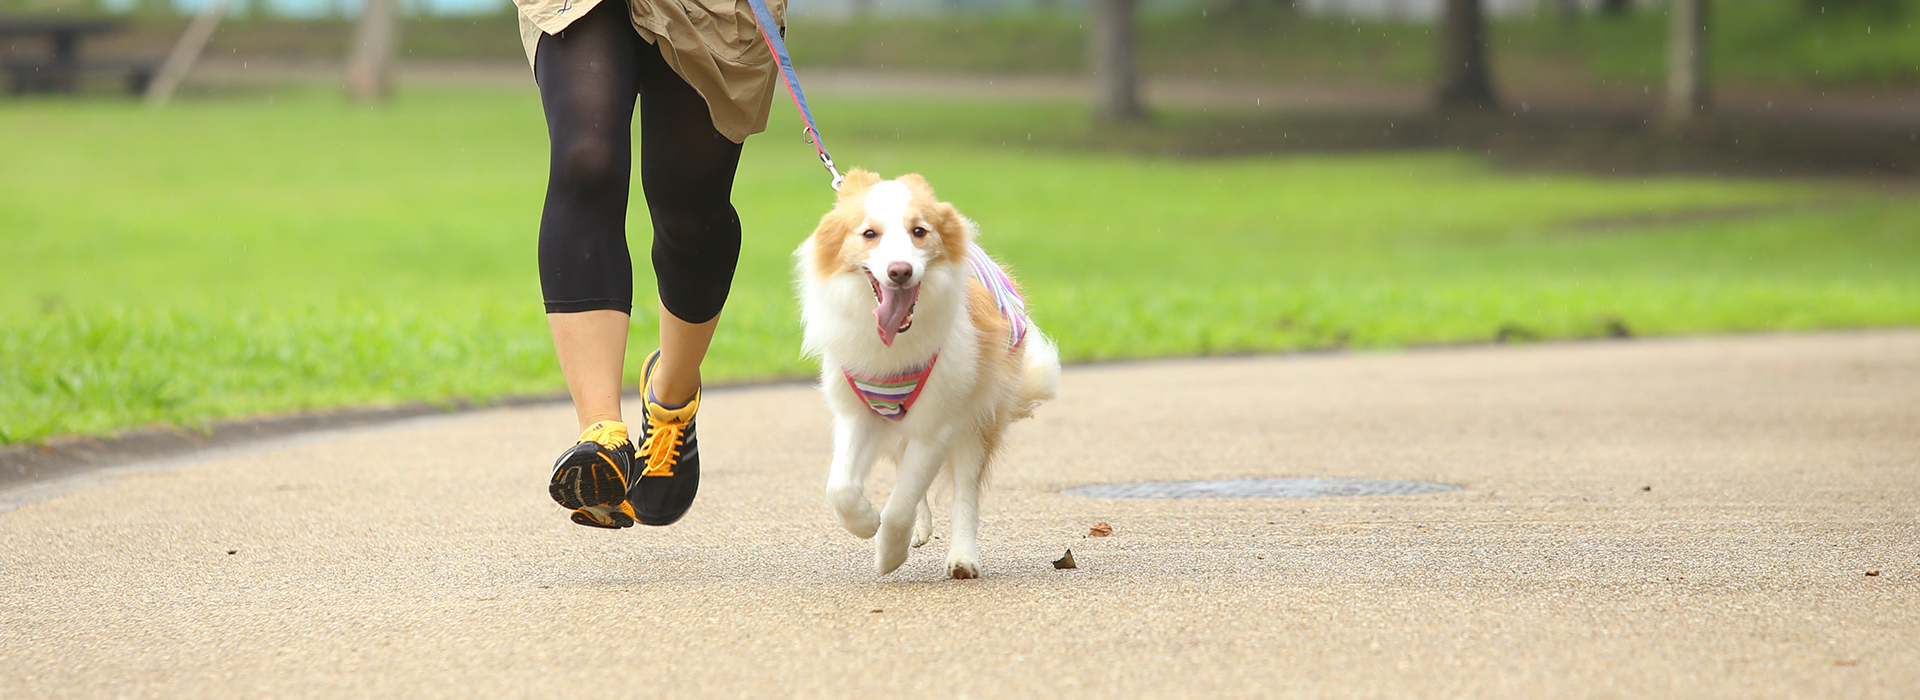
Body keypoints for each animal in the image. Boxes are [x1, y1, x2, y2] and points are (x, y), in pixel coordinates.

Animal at [794, 168, 1067, 579]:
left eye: (919, 231)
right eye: (869, 234)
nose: (900, 271)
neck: (894, 348)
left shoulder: (938, 422)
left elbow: (903, 501)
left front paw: (889, 552)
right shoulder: (858, 413)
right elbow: (840, 488)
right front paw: (867, 523)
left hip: (979, 415)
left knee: (964, 490)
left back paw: (962, 558)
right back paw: (920, 529)